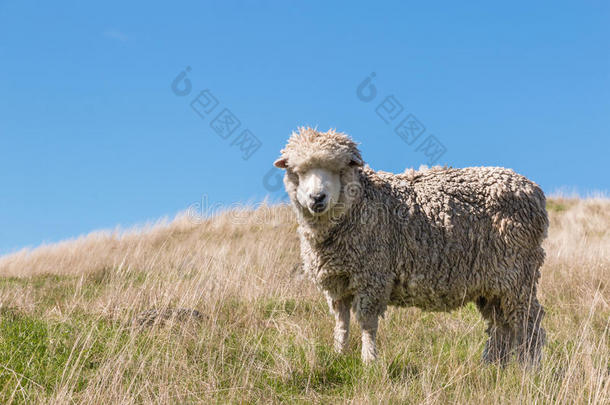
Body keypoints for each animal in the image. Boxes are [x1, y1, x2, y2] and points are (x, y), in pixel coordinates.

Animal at [274, 126, 548, 362]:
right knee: (501, 325)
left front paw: (368, 360)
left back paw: (528, 367)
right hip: (492, 283)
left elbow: (367, 323)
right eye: (298, 171)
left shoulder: (372, 276)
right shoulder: (337, 283)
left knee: (527, 322)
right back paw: (494, 365)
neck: (360, 202)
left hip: (518, 275)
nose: (317, 198)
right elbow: (341, 322)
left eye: (338, 168)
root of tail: (534, 191)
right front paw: (338, 354)